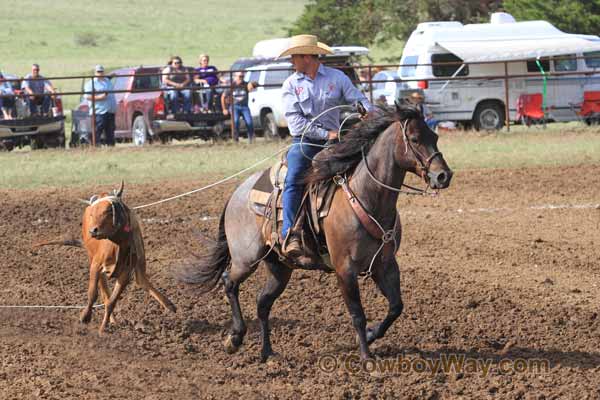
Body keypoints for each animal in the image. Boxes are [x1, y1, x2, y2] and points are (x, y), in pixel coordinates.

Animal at [176, 101, 452, 360]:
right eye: (414, 139)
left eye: (435, 136)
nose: (443, 176)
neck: (365, 196)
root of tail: (238, 192)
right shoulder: (345, 269)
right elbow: (357, 314)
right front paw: (366, 356)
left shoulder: (384, 264)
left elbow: (396, 307)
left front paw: (372, 335)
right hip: (246, 258)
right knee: (229, 283)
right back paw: (234, 338)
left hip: (279, 268)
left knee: (262, 303)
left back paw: (267, 353)